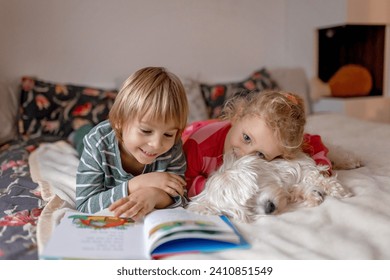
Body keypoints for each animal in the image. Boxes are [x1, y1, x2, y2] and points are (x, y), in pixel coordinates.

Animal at [187, 151, 354, 223]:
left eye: (254, 192)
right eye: (247, 209)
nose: (269, 208)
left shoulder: (297, 165)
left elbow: (314, 175)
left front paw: (337, 190)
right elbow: (296, 189)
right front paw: (311, 194)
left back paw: (349, 161)